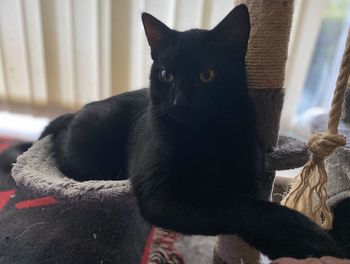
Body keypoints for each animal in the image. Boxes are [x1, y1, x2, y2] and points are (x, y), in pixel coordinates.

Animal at [36, 4, 344, 260]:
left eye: (207, 75)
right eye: (166, 75)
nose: (179, 102)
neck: (205, 137)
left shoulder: (248, 175)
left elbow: (252, 202)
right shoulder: (163, 195)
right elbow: (237, 205)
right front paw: (309, 237)